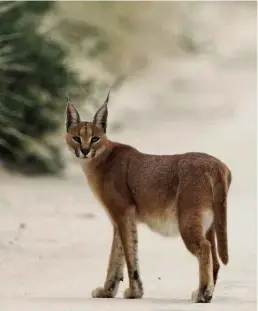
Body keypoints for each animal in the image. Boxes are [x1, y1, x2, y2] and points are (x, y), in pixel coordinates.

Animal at [65, 92, 232, 302]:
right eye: (76, 138)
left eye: (94, 138)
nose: (85, 150)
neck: (99, 160)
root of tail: (216, 164)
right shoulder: (121, 218)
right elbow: (118, 254)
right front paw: (108, 291)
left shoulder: (122, 213)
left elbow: (128, 254)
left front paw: (134, 292)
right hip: (209, 222)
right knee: (215, 259)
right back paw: (207, 292)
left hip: (187, 217)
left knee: (204, 248)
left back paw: (203, 293)